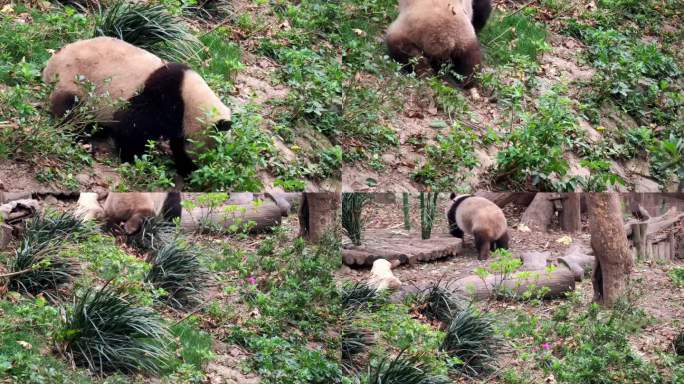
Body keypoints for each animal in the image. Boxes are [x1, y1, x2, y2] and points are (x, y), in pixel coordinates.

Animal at [42, 36, 232, 176]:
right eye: (214, 149)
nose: (201, 167)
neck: (189, 98)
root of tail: (50, 64)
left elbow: (177, 142)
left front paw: (184, 166)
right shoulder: (161, 98)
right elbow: (133, 127)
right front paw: (135, 157)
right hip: (74, 82)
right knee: (71, 113)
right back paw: (84, 140)